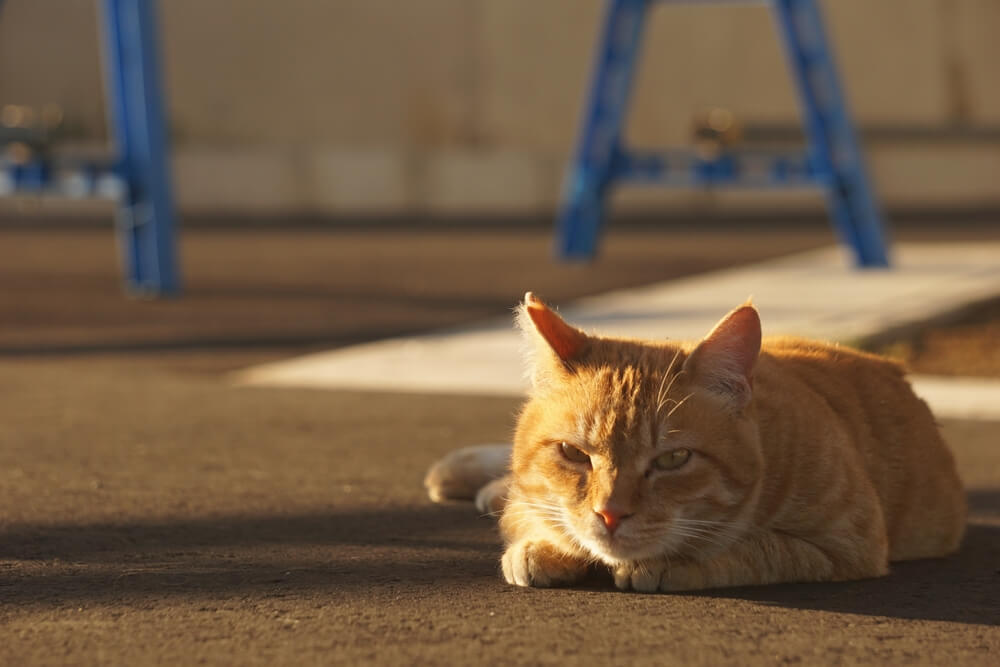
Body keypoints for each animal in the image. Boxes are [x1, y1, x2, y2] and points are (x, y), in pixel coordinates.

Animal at [424, 294, 968, 592]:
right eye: (575, 454)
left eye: (674, 459)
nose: (610, 514)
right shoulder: (534, 499)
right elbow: (536, 516)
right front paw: (544, 545)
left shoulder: (847, 545)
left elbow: (757, 548)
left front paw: (666, 563)